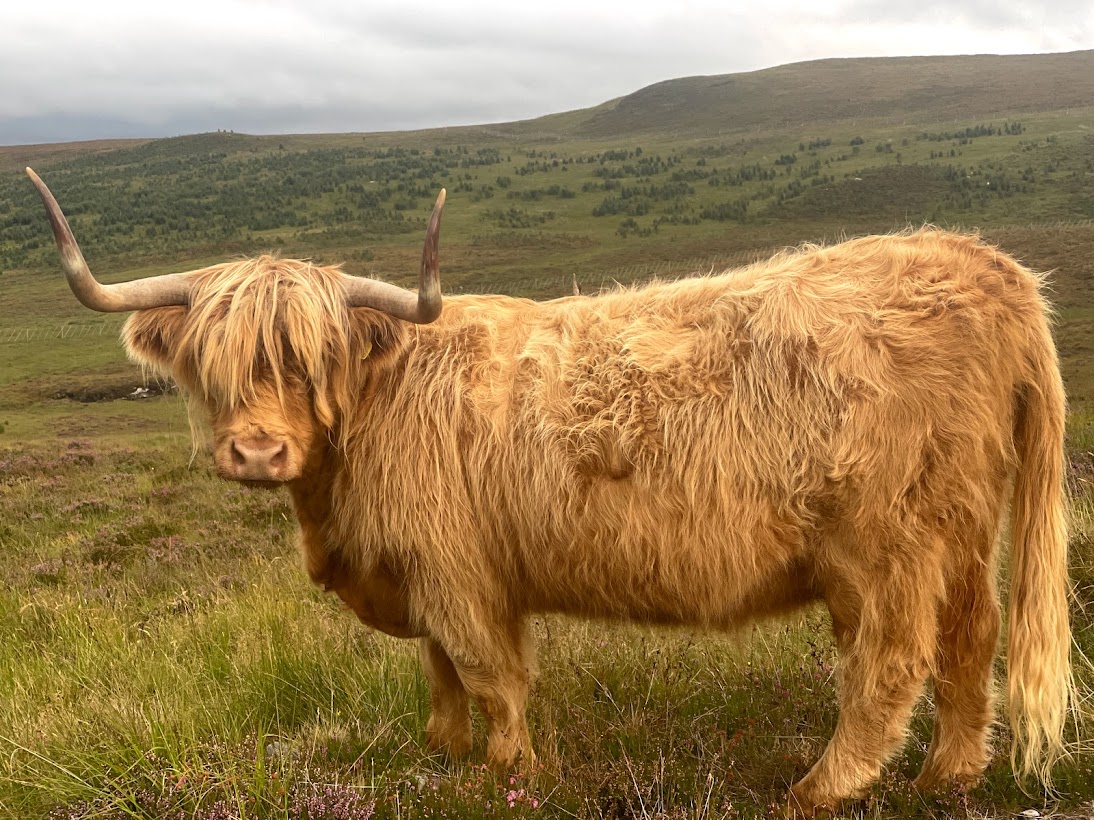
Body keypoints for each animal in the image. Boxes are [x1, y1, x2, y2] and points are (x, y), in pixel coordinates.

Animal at [27, 167, 1073, 815]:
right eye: (212, 363)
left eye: (310, 358)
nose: (254, 451)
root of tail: (987, 265)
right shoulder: (426, 571)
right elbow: (443, 673)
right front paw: (443, 754)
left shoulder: (457, 570)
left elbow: (488, 672)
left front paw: (510, 771)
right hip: (963, 526)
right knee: (972, 638)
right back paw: (948, 777)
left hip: (882, 544)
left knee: (893, 660)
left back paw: (823, 787)